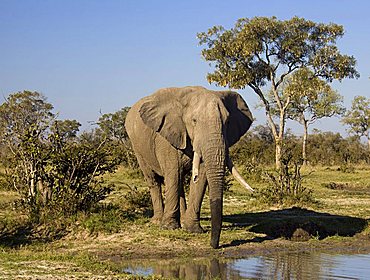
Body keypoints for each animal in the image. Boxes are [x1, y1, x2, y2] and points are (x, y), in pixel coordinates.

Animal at [125, 86, 253, 248]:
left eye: (228, 121)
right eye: (194, 121)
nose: (214, 245)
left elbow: (200, 177)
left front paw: (192, 229)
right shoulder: (166, 135)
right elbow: (173, 174)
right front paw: (169, 228)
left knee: (178, 182)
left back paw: (181, 220)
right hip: (137, 147)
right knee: (154, 180)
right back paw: (157, 221)